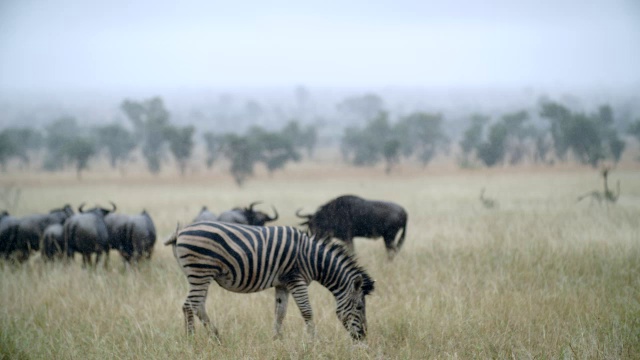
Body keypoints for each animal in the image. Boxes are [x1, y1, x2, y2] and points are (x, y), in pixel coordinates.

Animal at [165, 221, 376, 342]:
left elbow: (280, 312)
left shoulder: (283, 284)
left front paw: (277, 340)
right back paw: (192, 341)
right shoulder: (296, 279)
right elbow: (307, 311)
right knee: (188, 306)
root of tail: (181, 231)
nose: (363, 338)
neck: (313, 259)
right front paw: (314, 342)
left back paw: (216, 337)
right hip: (200, 272)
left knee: (198, 306)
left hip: (201, 276)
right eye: (359, 307)